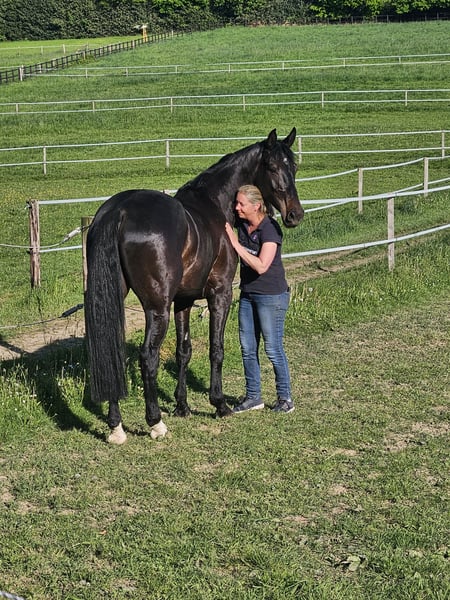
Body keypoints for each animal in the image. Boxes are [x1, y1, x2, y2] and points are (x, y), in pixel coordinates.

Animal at [84, 128, 304, 444]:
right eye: (273, 167)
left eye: (294, 167)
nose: (295, 215)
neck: (212, 206)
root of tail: (119, 211)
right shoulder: (220, 294)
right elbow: (216, 348)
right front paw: (219, 404)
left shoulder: (183, 301)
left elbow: (183, 351)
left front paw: (182, 406)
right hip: (157, 308)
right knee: (147, 356)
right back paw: (155, 423)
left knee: (113, 354)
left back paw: (116, 427)